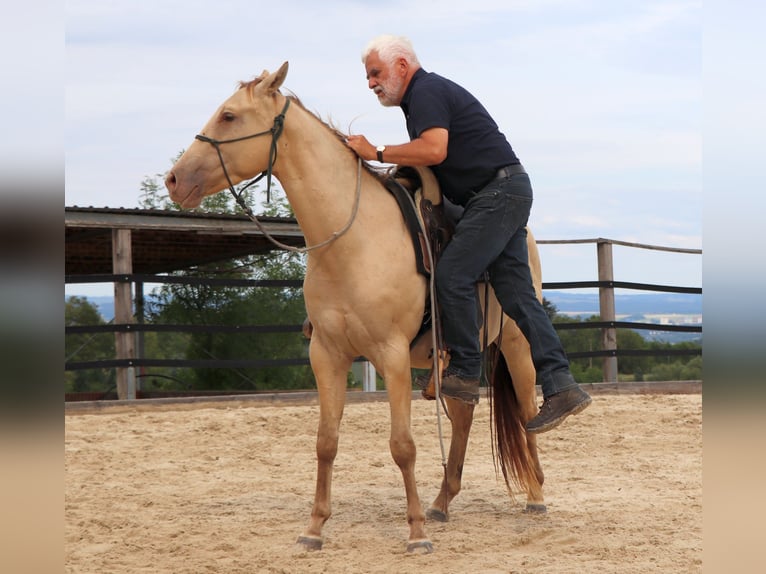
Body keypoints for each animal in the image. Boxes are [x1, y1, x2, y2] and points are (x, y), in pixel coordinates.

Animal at [165, 62, 546, 554]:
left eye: (229, 116)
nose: (175, 179)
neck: (352, 239)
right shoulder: (326, 354)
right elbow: (326, 441)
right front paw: (314, 528)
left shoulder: (392, 355)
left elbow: (403, 445)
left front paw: (416, 533)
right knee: (463, 414)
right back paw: (442, 502)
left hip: (516, 345)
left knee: (526, 411)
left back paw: (535, 496)